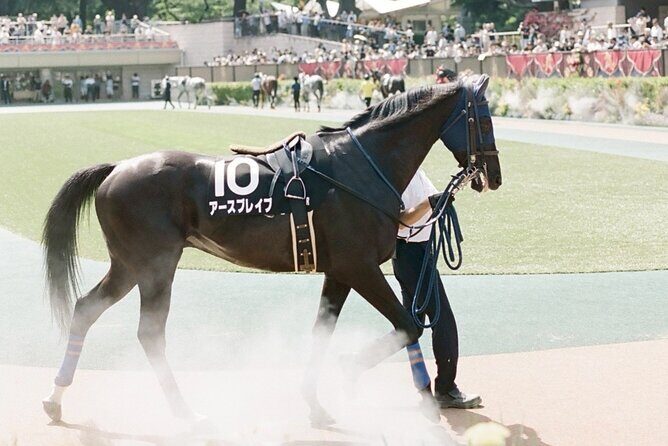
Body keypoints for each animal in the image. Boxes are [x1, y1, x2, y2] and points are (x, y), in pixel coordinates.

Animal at [41, 75, 502, 427]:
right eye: (483, 119)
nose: (494, 176)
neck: (360, 167)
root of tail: (115, 168)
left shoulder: (339, 271)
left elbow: (322, 333)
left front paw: (315, 403)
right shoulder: (360, 267)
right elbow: (408, 325)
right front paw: (361, 375)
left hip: (128, 265)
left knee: (86, 309)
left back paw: (56, 399)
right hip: (154, 266)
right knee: (150, 333)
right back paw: (183, 411)